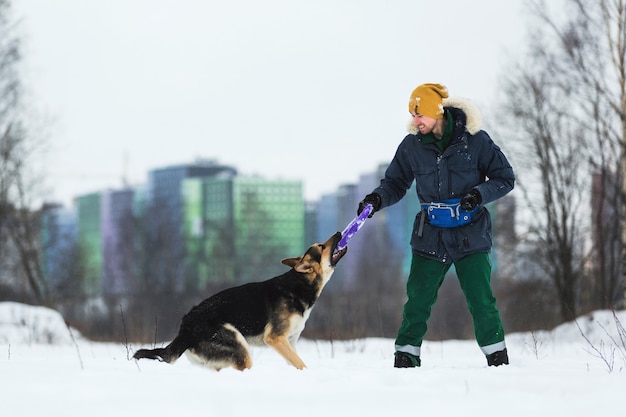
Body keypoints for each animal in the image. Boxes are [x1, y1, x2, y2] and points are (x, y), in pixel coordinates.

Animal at [133, 231, 346, 370]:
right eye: (322, 246)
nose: (338, 233)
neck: (299, 285)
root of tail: (185, 328)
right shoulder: (276, 338)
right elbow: (301, 364)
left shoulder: (289, 342)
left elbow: (295, 361)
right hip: (237, 343)